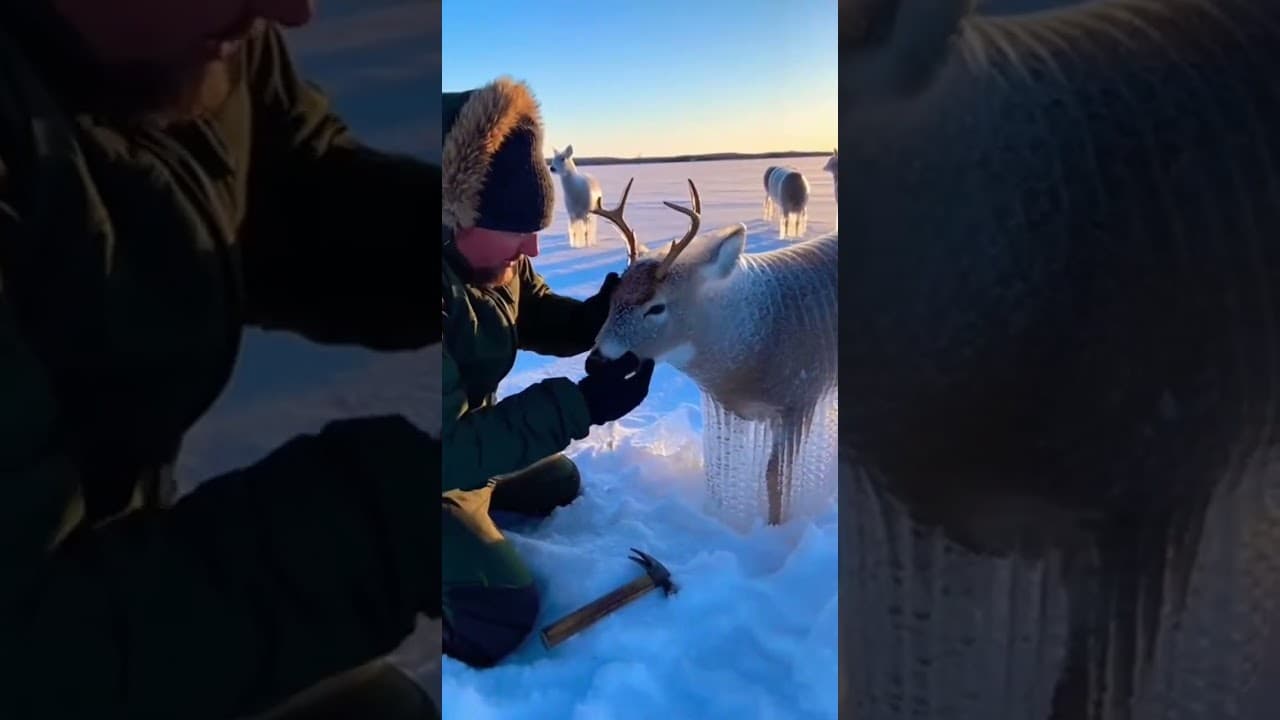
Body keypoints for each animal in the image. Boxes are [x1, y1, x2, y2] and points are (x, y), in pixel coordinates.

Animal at [589, 178, 838, 527]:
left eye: (657, 307)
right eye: (613, 297)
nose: (595, 362)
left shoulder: (800, 396)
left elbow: (774, 478)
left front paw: (774, 529)